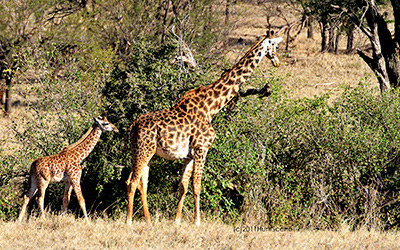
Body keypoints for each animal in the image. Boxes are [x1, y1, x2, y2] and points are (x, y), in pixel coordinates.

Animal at [126, 30, 282, 226]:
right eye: (274, 46)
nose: (277, 62)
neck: (211, 107)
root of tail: (133, 126)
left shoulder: (189, 155)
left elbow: (183, 186)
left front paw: (177, 221)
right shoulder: (202, 148)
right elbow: (197, 185)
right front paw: (197, 221)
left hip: (143, 152)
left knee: (141, 183)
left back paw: (147, 220)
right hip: (143, 150)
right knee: (132, 182)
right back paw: (129, 220)